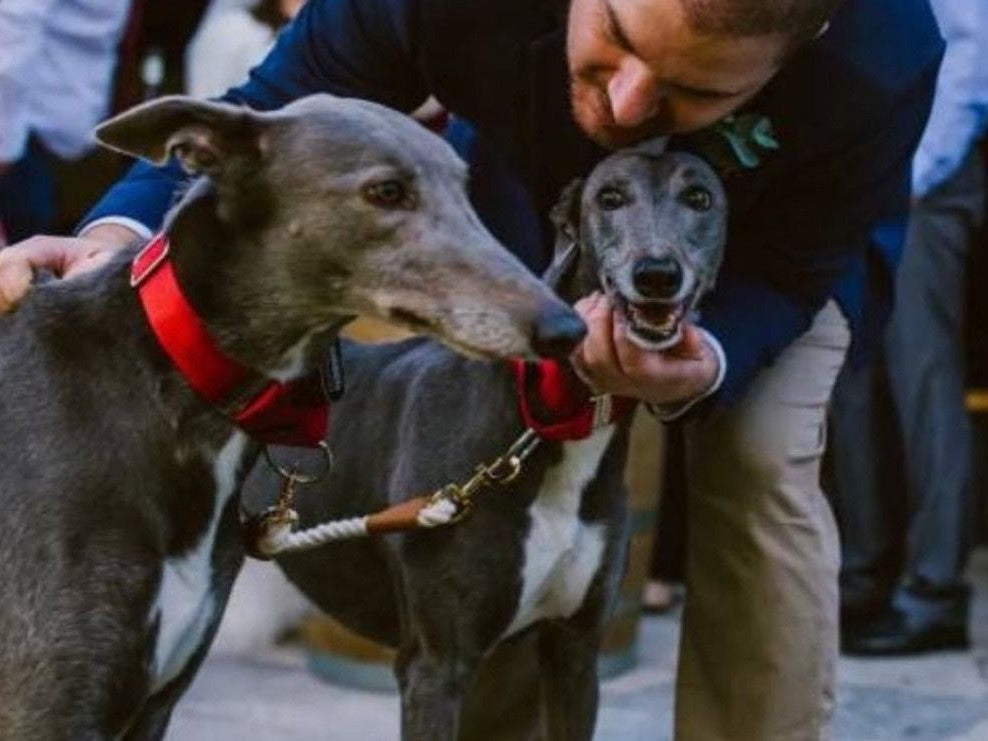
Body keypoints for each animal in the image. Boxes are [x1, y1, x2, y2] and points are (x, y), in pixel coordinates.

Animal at [243, 142, 728, 736]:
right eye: (609, 197)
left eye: (699, 197)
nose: (657, 274)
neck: (544, 418)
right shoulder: (437, 665)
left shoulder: (574, 653)